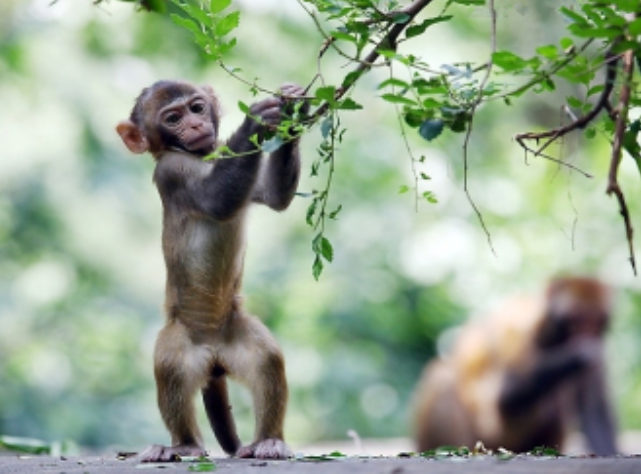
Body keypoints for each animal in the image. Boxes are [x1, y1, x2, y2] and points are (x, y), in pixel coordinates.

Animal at [116, 80, 306, 460]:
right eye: (173, 118)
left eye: (197, 107)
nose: (194, 125)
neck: (199, 156)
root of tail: (215, 359)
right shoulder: (171, 169)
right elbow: (216, 199)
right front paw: (255, 121)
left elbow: (274, 197)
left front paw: (291, 107)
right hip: (180, 338)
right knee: (171, 368)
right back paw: (185, 445)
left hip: (237, 332)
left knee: (267, 361)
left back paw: (268, 441)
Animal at [412, 278, 616, 456]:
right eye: (576, 320)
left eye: (594, 321)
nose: (586, 335)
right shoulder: (521, 330)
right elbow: (504, 396)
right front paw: (577, 355)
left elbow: (595, 412)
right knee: (443, 379)